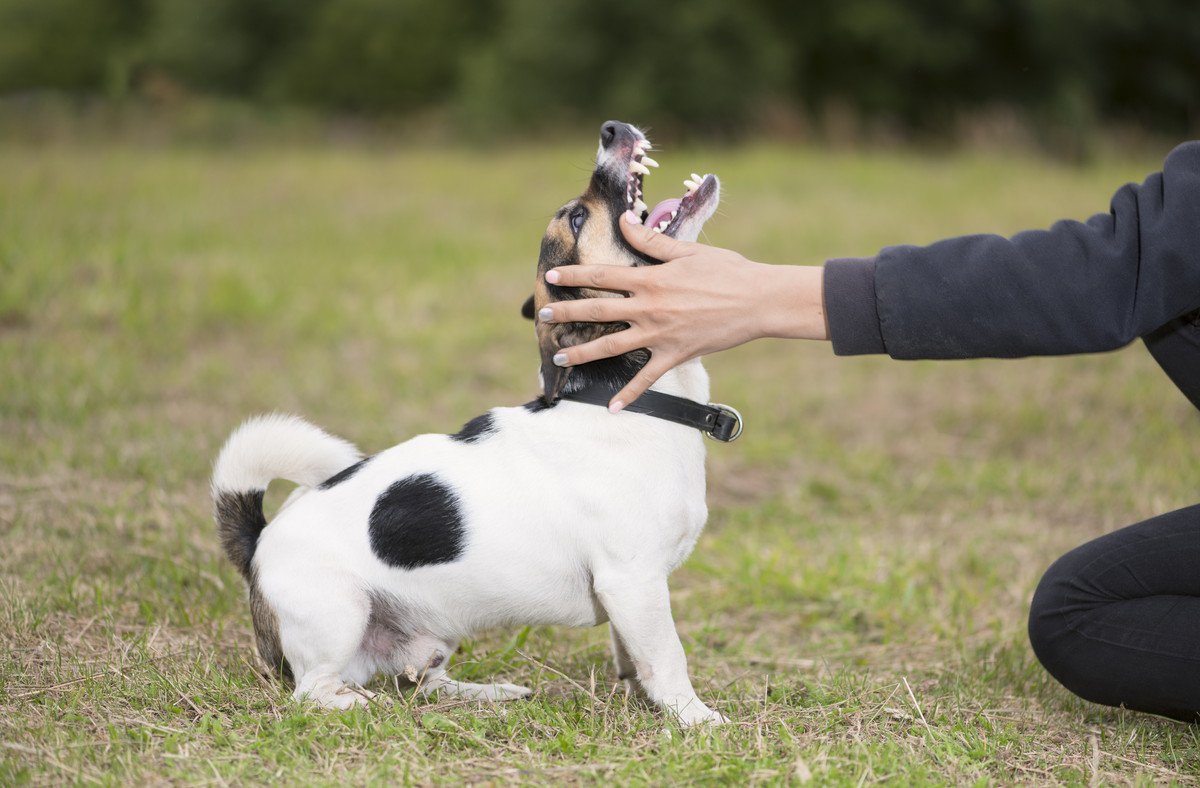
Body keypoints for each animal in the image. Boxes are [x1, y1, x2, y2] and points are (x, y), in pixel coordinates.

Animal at [213, 121, 729, 724]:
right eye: (577, 218)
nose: (612, 129)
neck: (625, 399)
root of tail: (257, 540)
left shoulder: (629, 593)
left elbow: (635, 654)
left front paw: (643, 696)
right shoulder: (634, 581)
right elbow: (667, 656)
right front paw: (694, 716)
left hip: (432, 635)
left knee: (424, 682)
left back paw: (487, 694)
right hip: (338, 615)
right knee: (314, 690)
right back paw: (360, 703)